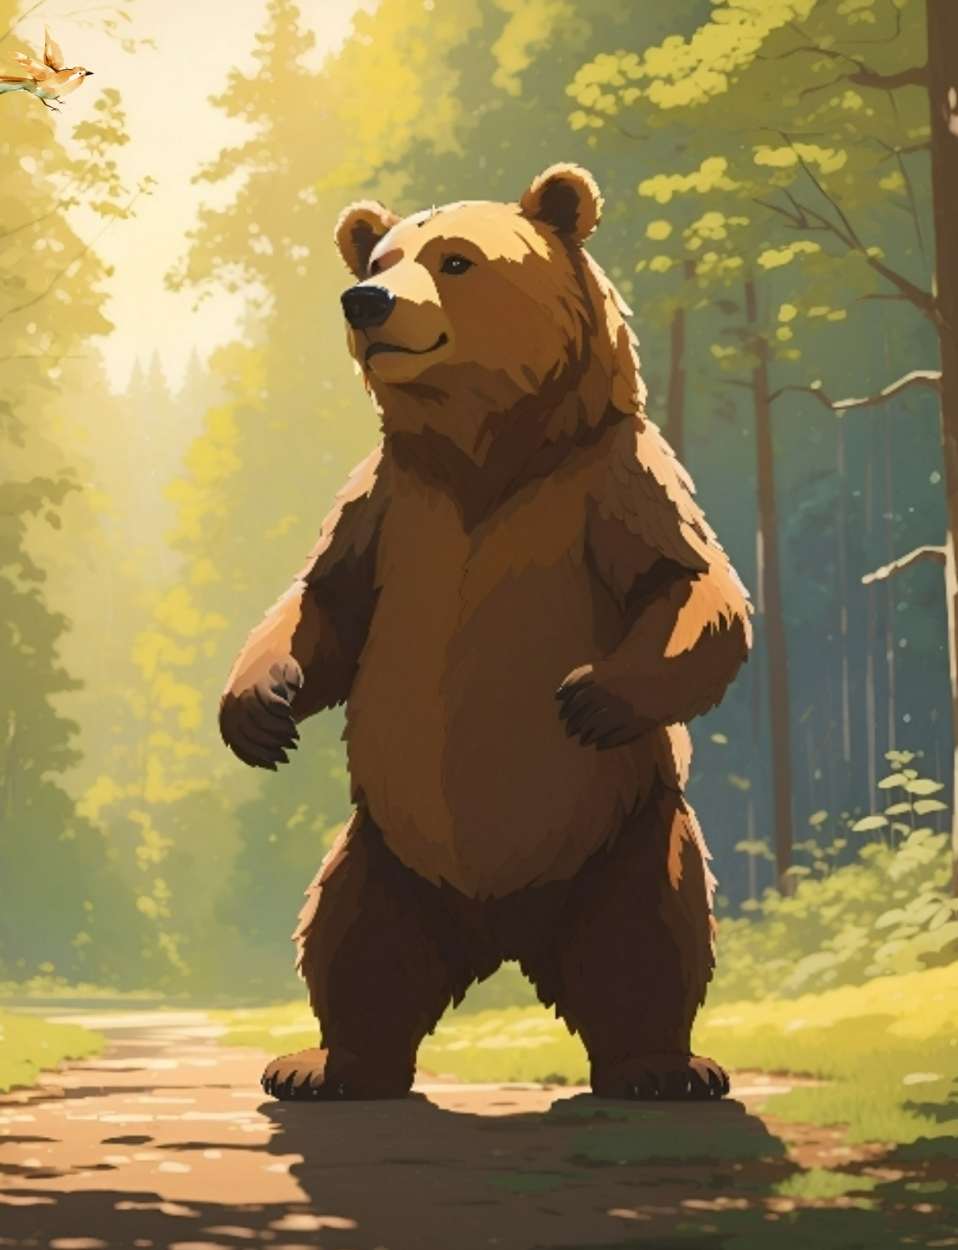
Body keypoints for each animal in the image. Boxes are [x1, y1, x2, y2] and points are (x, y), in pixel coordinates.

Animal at [219, 163, 752, 1102]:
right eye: (380, 257)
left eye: (456, 259)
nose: (365, 301)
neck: (482, 458)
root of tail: (502, 932)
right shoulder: (388, 506)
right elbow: (322, 603)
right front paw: (257, 710)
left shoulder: (611, 482)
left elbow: (691, 586)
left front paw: (592, 697)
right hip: (383, 856)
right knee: (352, 948)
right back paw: (325, 1066)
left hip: (626, 838)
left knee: (649, 940)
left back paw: (661, 1067)